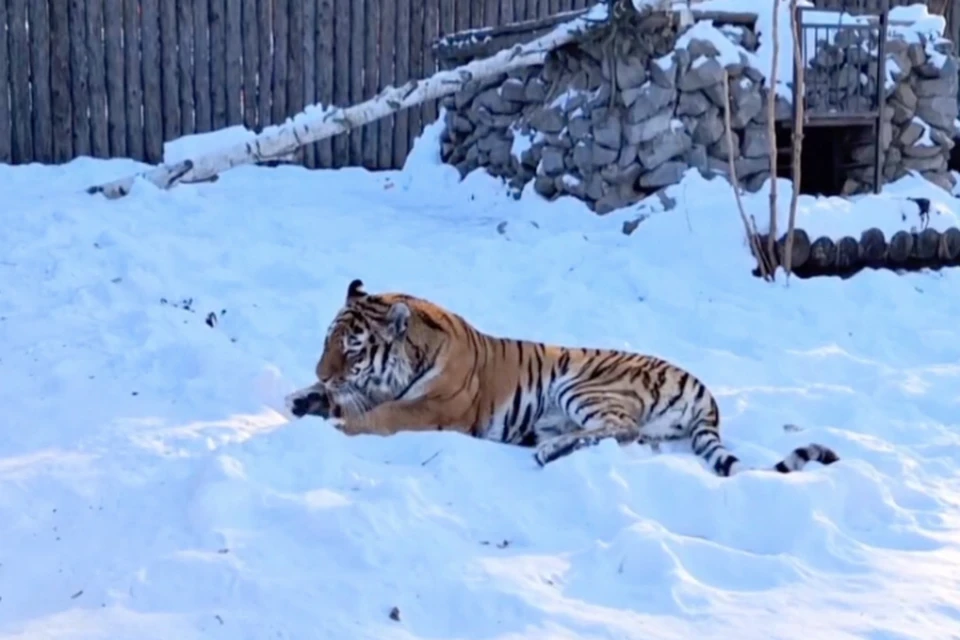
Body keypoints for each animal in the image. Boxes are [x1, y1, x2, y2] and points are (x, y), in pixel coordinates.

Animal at [284, 280, 840, 476]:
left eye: (351, 349)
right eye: (326, 341)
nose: (319, 370)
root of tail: (703, 389)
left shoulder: (431, 407)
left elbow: (378, 415)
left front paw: (333, 422)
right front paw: (304, 398)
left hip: (585, 386)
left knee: (619, 429)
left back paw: (549, 451)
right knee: (623, 436)